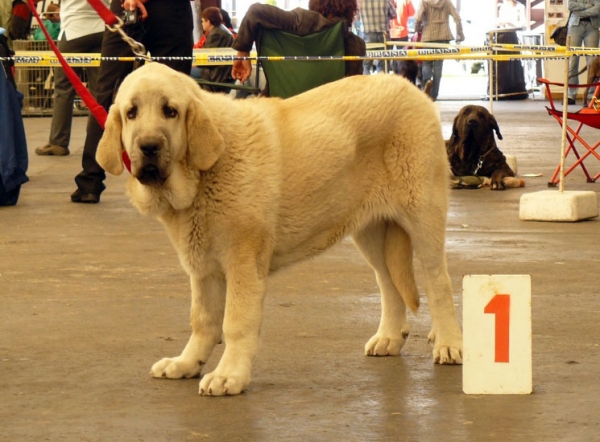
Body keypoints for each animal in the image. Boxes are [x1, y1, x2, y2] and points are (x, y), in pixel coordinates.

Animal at [97, 62, 464, 398]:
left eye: (170, 111)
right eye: (131, 113)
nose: (148, 146)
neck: (202, 173)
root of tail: (411, 88)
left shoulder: (243, 263)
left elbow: (235, 323)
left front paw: (229, 375)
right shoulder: (203, 267)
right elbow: (202, 321)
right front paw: (187, 363)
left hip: (423, 216)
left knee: (438, 282)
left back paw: (448, 343)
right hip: (371, 231)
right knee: (389, 283)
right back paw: (389, 337)